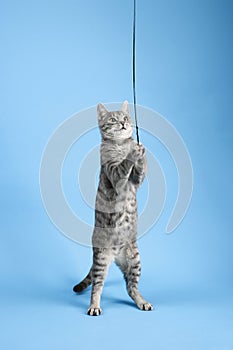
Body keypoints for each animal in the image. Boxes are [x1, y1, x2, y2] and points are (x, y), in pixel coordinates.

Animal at [73, 100, 153, 314]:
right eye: (113, 120)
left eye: (125, 118)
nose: (124, 124)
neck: (120, 145)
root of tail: (116, 255)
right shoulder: (115, 173)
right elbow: (124, 165)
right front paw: (134, 152)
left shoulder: (135, 182)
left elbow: (140, 171)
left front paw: (140, 151)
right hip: (101, 260)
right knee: (97, 286)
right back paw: (94, 306)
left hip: (135, 260)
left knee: (131, 287)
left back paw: (142, 301)